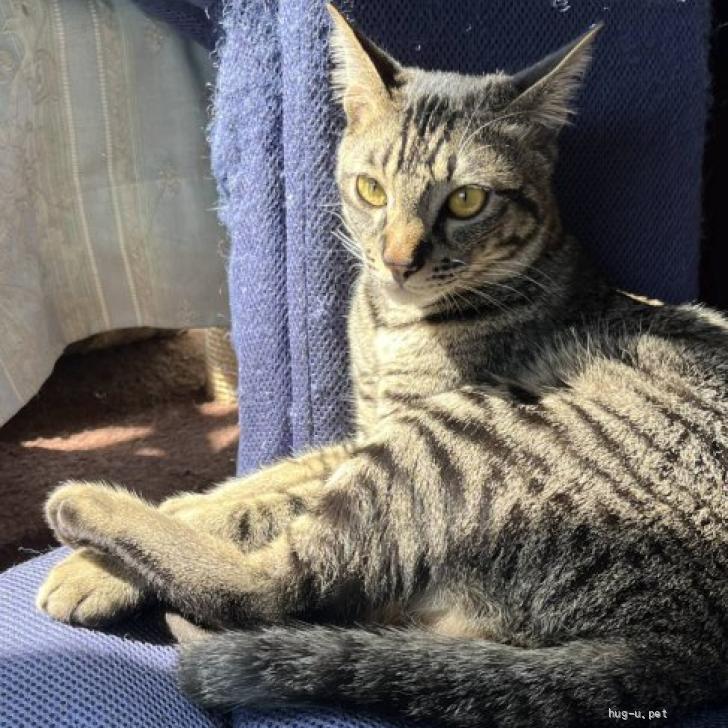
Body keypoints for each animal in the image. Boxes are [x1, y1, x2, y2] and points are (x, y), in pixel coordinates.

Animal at [36, 5, 728, 727]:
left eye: (466, 201)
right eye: (371, 190)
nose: (398, 261)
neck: (395, 326)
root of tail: (679, 648)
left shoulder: (393, 432)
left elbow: (260, 508)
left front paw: (91, 571)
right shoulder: (362, 429)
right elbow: (250, 484)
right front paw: (176, 504)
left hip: (463, 434)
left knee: (279, 587)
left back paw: (84, 504)